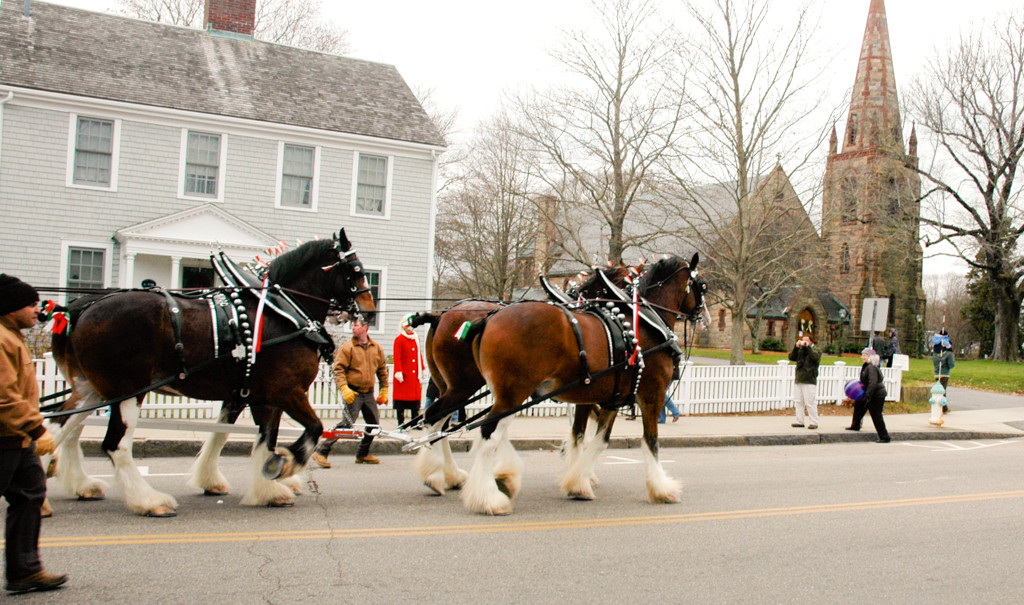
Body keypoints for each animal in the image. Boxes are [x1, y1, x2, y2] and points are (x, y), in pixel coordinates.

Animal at [48, 232, 376, 515]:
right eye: (356, 270)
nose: (370, 311)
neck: (281, 311)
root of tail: (80, 309)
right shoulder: (285, 390)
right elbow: (312, 429)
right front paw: (283, 467)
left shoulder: (250, 394)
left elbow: (246, 437)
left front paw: (259, 486)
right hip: (127, 390)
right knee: (114, 445)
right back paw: (149, 501)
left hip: (92, 388)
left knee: (62, 427)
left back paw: (75, 485)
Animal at [460, 252, 700, 513]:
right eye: (701, 285)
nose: (703, 315)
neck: (644, 323)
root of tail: (489, 320)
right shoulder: (651, 395)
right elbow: (650, 441)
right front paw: (662, 489)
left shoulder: (607, 398)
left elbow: (592, 438)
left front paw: (577, 482)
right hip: (512, 393)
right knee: (488, 434)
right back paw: (488, 498)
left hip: (507, 394)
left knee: (494, 430)